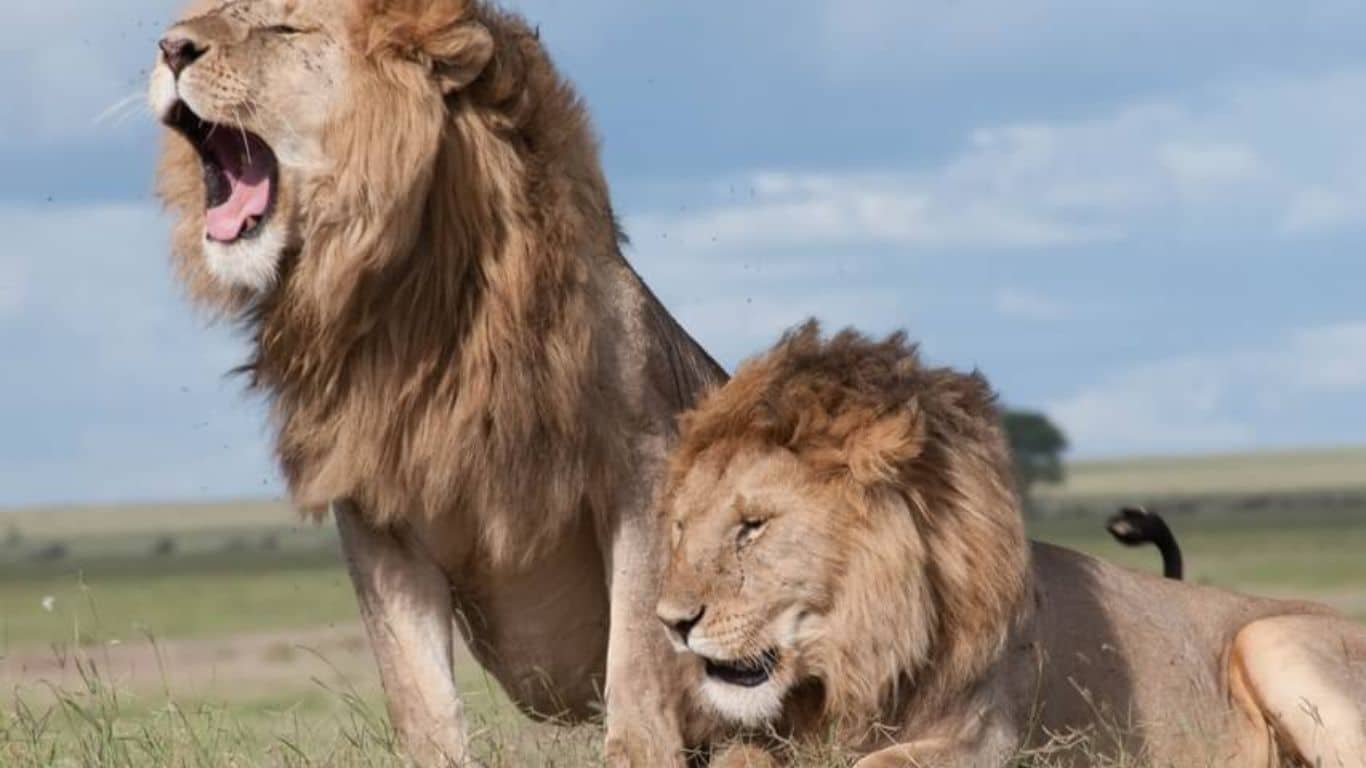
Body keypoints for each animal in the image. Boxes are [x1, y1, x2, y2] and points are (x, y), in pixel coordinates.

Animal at [148, 1, 724, 765]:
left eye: (283, 30)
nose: (170, 48)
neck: (409, 307)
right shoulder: (376, 514)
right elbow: (417, 691)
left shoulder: (643, 467)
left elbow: (637, 660)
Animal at [656, 323, 1366, 767]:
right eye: (682, 527)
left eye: (753, 526)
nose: (670, 623)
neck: (860, 657)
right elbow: (737, 756)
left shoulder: (991, 739)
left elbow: (878, 764)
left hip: (1271, 638)